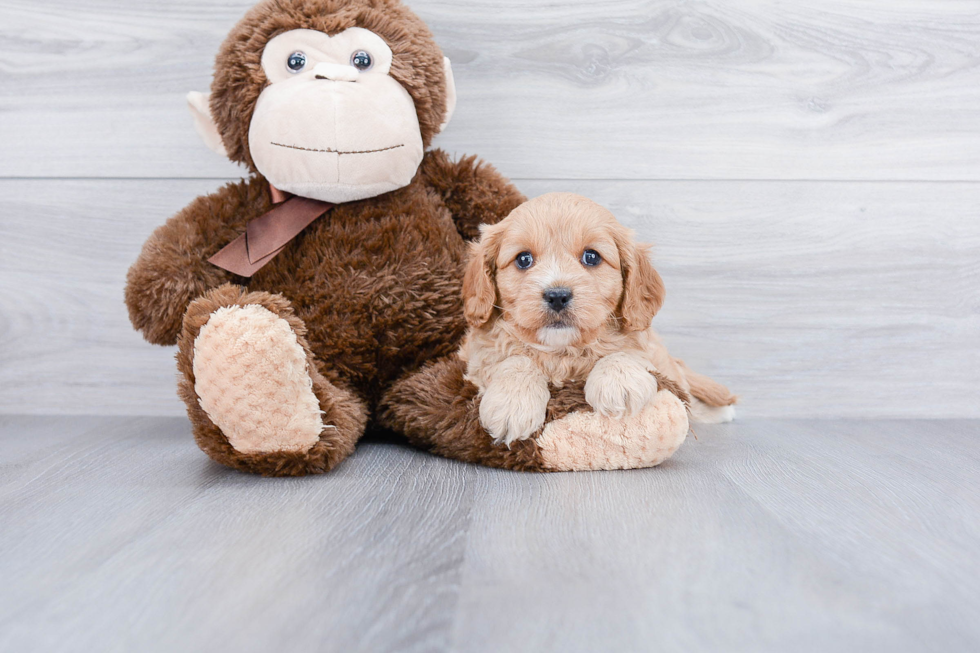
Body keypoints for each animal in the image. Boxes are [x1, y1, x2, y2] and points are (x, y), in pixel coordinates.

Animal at [460, 190, 736, 444]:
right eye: (523, 259)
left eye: (591, 257)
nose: (557, 295)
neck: (563, 351)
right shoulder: (476, 356)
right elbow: (514, 359)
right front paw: (513, 402)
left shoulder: (644, 346)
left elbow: (624, 350)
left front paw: (618, 383)